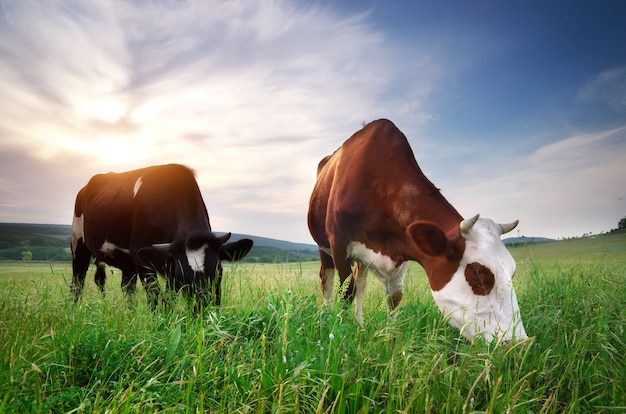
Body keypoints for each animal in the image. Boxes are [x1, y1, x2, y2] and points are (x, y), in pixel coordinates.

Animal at [70, 163, 251, 308]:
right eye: (182, 277)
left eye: (218, 272)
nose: (201, 310)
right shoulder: (142, 256)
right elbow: (154, 296)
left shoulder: (168, 263)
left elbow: (169, 298)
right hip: (78, 243)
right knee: (77, 282)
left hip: (127, 262)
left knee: (127, 288)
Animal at [308, 118, 528, 342]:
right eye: (479, 272)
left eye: (513, 271)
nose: (519, 343)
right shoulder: (339, 244)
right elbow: (345, 292)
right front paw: (341, 333)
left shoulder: (403, 246)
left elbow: (394, 296)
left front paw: (390, 337)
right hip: (324, 247)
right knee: (327, 280)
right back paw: (328, 317)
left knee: (361, 282)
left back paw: (359, 323)